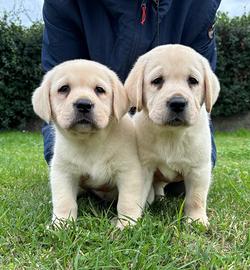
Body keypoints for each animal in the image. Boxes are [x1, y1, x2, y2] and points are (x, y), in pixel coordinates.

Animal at [32, 60, 145, 229]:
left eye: (100, 90)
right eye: (64, 89)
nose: (84, 104)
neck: (90, 141)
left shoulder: (128, 170)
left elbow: (127, 201)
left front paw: (126, 223)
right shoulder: (62, 171)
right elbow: (64, 200)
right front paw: (61, 224)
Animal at [124, 44, 219, 226]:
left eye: (193, 81)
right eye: (157, 81)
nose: (177, 103)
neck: (171, 134)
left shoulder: (199, 169)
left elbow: (196, 198)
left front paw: (196, 220)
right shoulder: (144, 166)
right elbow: (136, 194)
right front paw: (130, 220)